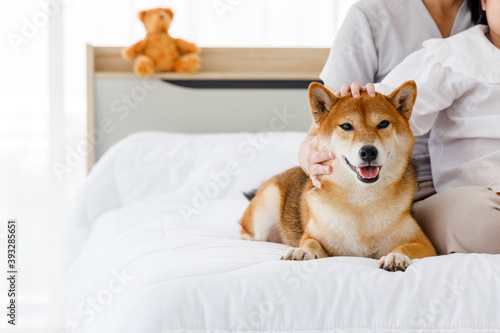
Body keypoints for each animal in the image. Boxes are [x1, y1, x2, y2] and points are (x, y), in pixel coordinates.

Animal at [240, 81, 436, 272]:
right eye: (346, 126)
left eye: (383, 123)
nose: (368, 151)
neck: (361, 202)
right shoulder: (315, 236)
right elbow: (310, 242)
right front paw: (302, 251)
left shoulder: (424, 244)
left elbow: (407, 247)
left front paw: (396, 256)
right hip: (265, 211)